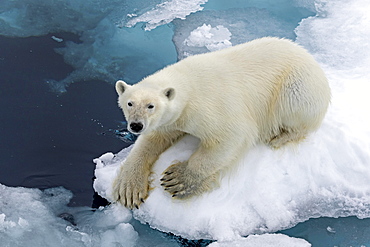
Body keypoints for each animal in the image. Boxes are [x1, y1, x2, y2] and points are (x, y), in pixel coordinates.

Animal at [111, 37, 330, 209]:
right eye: (129, 103)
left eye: (151, 106)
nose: (136, 125)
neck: (188, 84)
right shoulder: (171, 119)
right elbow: (153, 139)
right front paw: (129, 188)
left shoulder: (209, 106)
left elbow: (230, 136)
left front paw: (178, 179)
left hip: (296, 85)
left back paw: (279, 136)